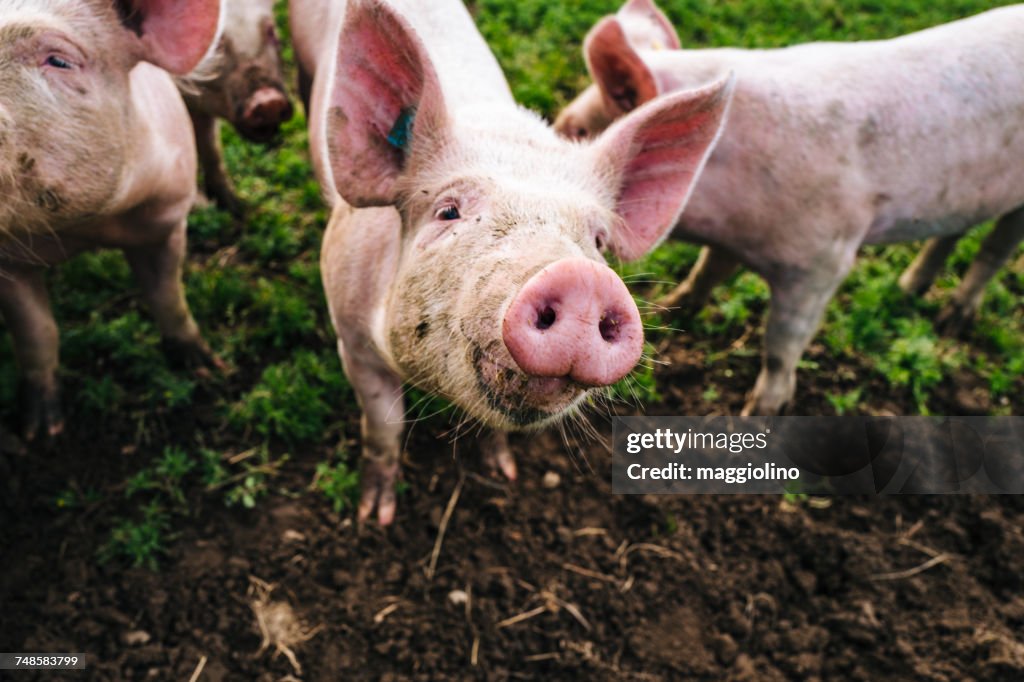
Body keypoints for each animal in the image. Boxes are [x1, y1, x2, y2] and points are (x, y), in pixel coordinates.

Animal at [0, 1, 224, 440]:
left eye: (59, 60)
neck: (84, 229)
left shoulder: (166, 217)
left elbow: (167, 295)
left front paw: (206, 369)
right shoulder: (10, 261)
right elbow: (36, 331)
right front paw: (40, 431)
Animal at [177, 0, 292, 212]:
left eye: (270, 30)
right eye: (215, 44)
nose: (268, 101)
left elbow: (212, 149)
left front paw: (236, 208)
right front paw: (203, 206)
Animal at [290, 0, 737, 522]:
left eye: (599, 240)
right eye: (448, 211)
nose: (582, 278)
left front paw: (503, 471)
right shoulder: (352, 340)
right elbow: (385, 426)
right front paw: (374, 516)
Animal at [557, 0, 1024, 413]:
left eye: (576, 131)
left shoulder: (823, 260)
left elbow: (782, 340)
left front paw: (759, 411)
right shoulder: (731, 240)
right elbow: (708, 269)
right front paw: (677, 304)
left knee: (995, 249)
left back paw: (952, 319)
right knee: (955, 230)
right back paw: (907, 289)